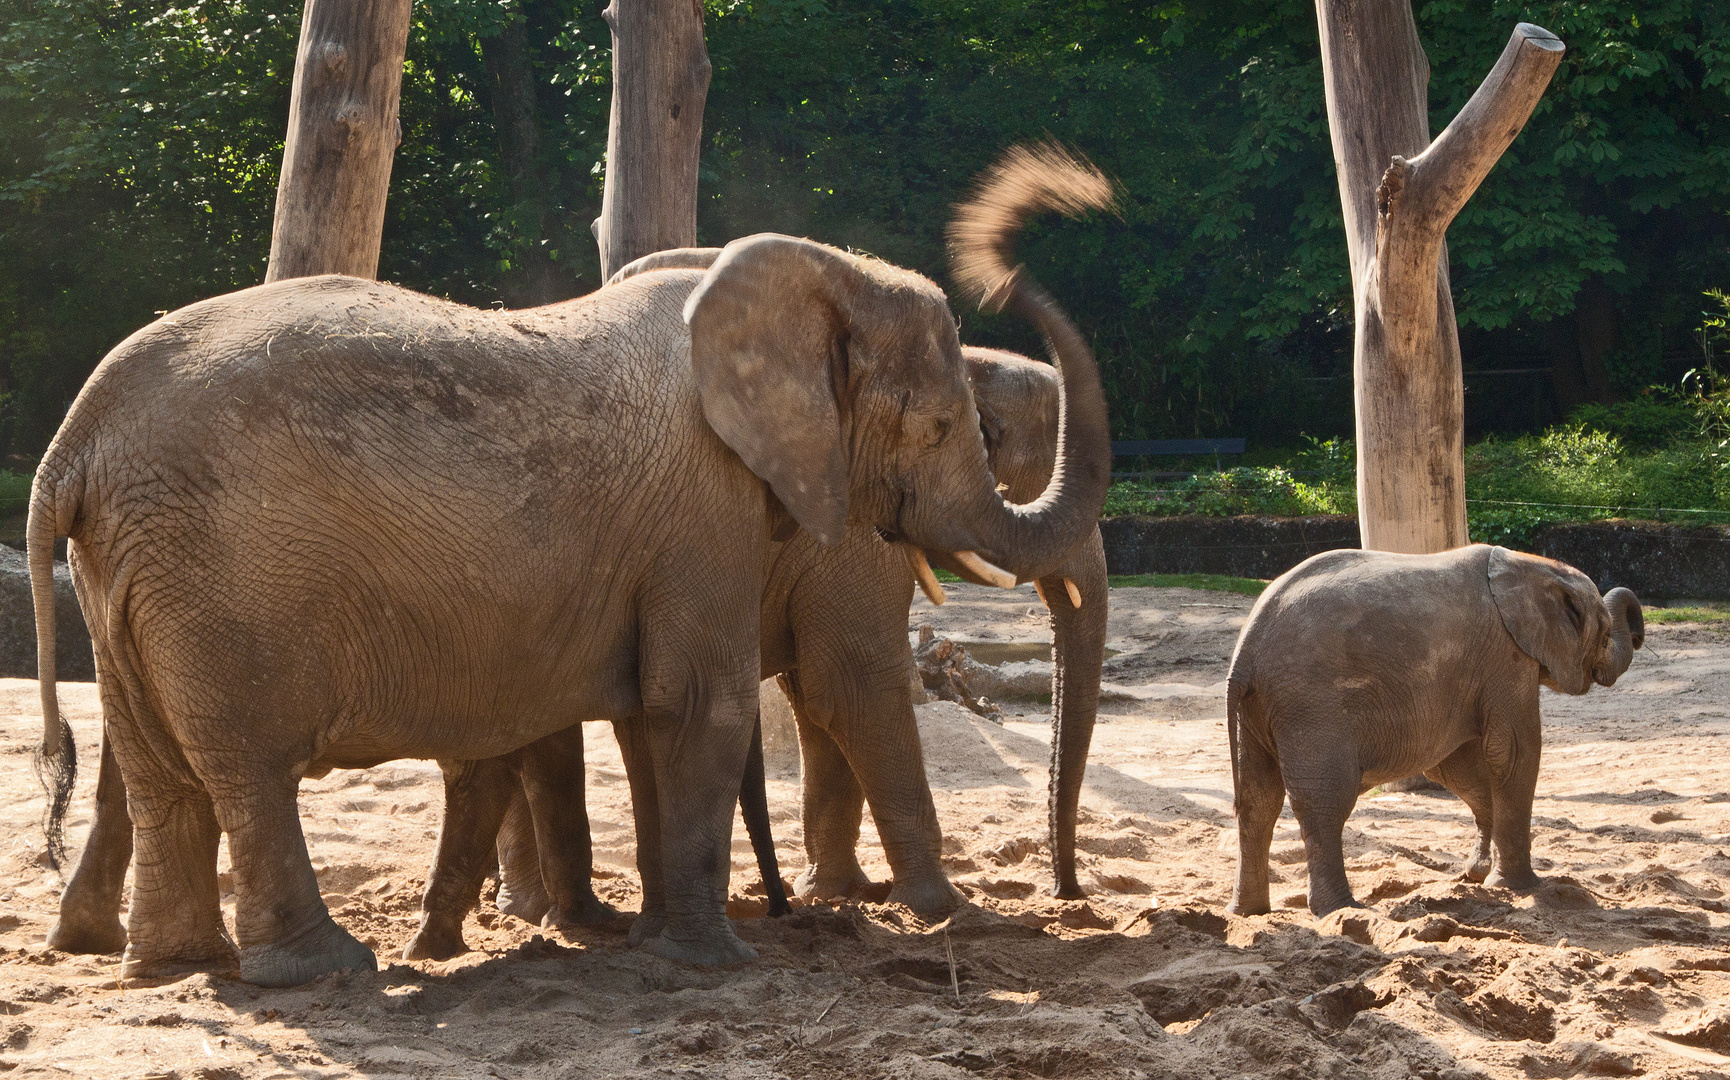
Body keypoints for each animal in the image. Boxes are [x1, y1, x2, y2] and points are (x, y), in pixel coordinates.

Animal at [33, 143, 1114, 990]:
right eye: (940, 429)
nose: (1034, 215)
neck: (810, 283)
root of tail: (72, 446)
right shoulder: (708, 506)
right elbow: (752, 694)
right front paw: (744, 957)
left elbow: (673, 709)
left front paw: (676, 940)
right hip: (218, 585)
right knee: (248, 767)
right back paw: (324, 968)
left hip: (133, 572)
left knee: (160, 772)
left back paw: (174, 965)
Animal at [1224, 546, 1640, 920]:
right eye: (1605, 634)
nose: (1636, 635)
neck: (1531, 565)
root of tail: (1245, 652)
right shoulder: (1507, 657)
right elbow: (1516, 752)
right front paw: (1520, 887)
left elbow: (1460, 767)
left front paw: (1478, 875)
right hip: (1311, 706)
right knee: (1325, 801)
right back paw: (1341, 911)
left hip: (1262, 708)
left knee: (1258, 801)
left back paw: (1249, 912)